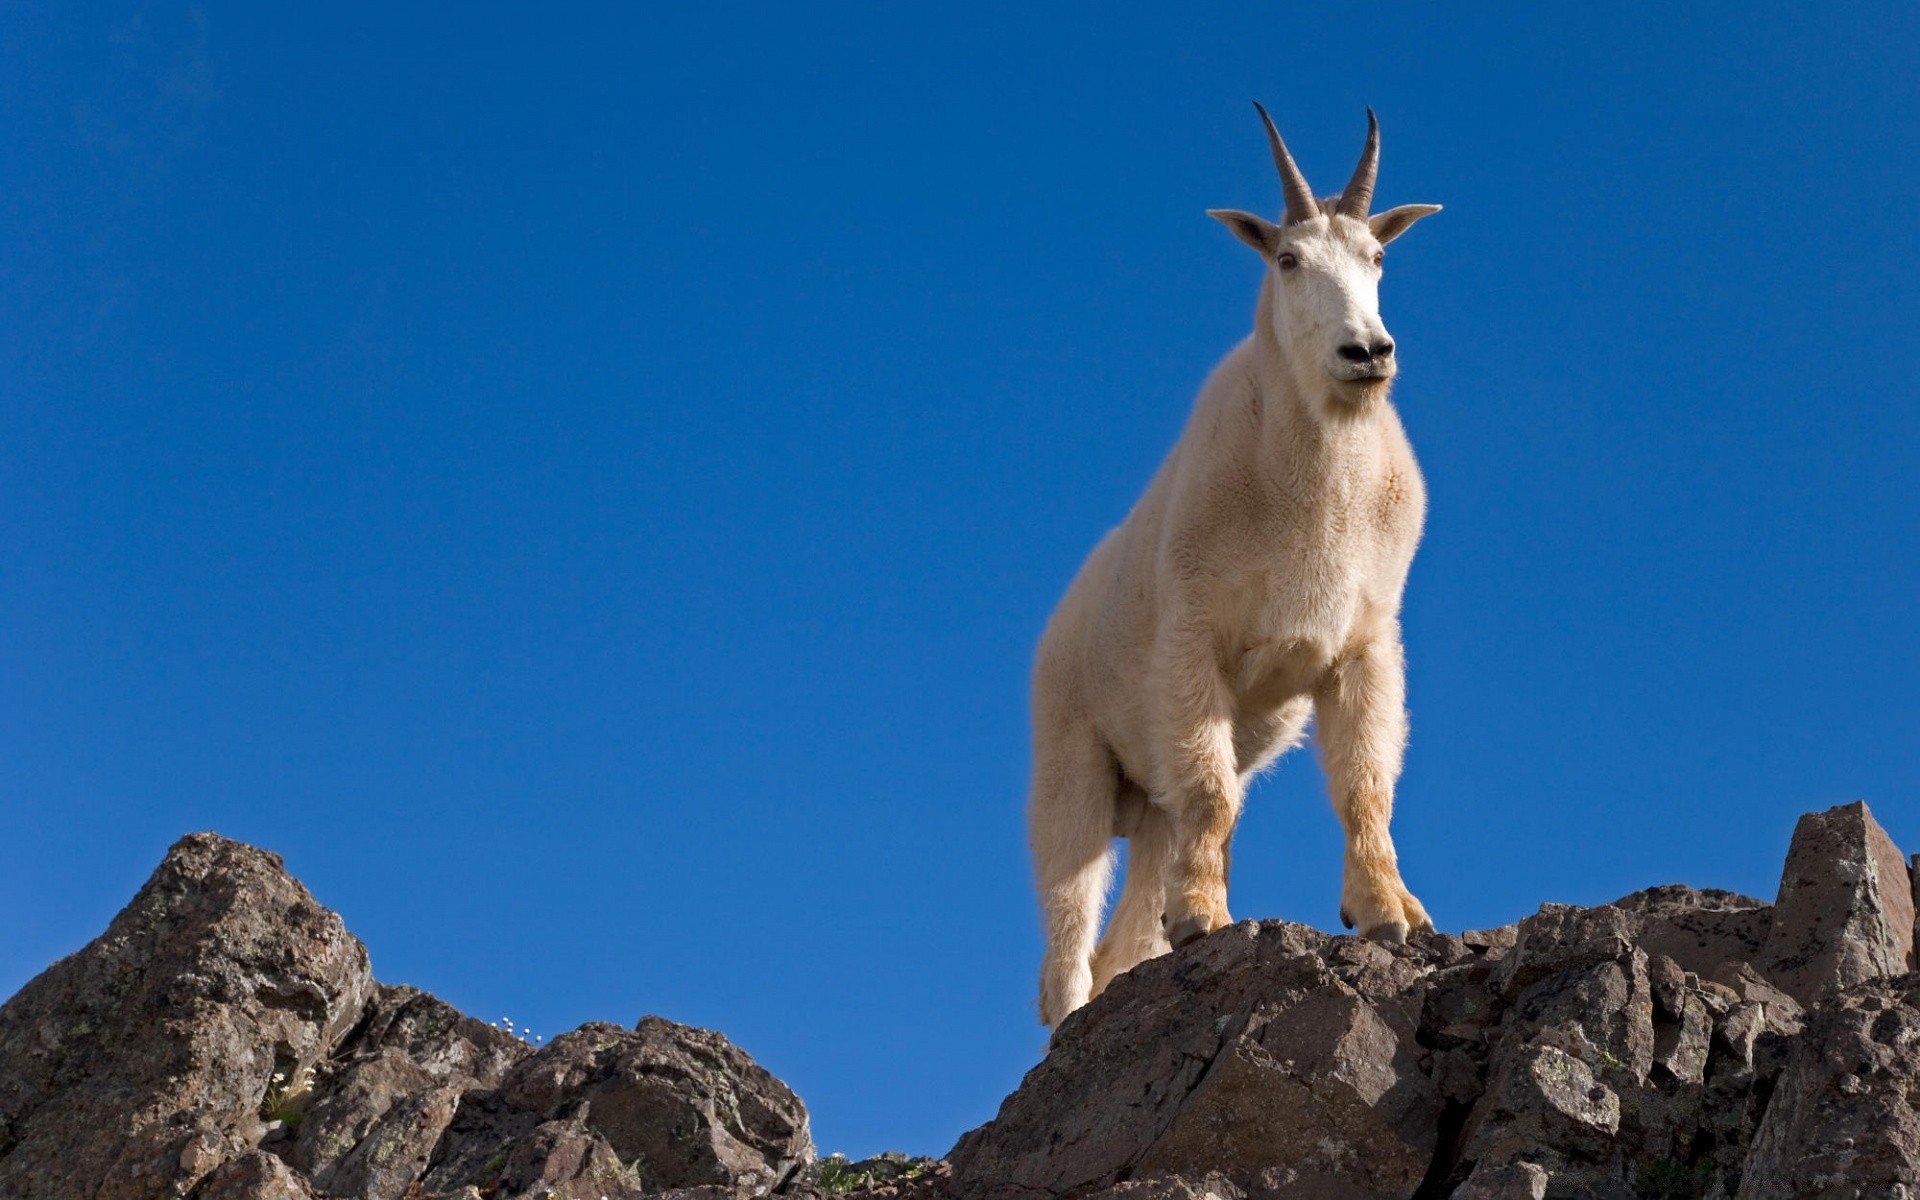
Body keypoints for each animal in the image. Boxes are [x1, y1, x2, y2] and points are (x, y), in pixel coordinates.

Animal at [1036, 105, 1443, 1021]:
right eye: (1288, 260)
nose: (1368, 352)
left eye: (1378, 258)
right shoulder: (1195, 640)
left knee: (1124, 934)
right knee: (1067, 941)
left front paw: (1390, 913)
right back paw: (1069, 1021)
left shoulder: (1366, 646)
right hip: (1072, 766)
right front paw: (1204, 920)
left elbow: (1365, 782)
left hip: (1148, 806)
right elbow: (1216, 791)